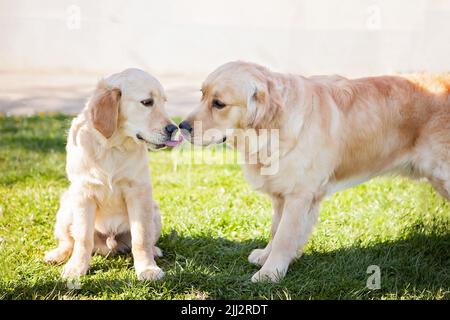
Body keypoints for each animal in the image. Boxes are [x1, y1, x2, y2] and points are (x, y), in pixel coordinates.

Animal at [44, 68, 181, 280]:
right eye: (147, 102)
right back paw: (57, 255)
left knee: (147, 239)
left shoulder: (138, 192)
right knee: (68, 241)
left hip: (153, 209)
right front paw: (77, 268)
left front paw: (147, 268)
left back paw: (154, 251)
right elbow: (82, 238)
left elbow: (141, 238)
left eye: (164, 102)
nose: (174, 129)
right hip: (66, 207)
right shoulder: (83, 194)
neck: (113, 146)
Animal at [179, 61, 450, 282]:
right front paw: (267, 256)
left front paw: (270, 272)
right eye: (201, 95)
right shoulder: (283, 195)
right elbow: (276, 229)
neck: (273, 130)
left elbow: (284, 236)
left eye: (219, 104)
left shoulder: (299, 195)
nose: (182, 126)